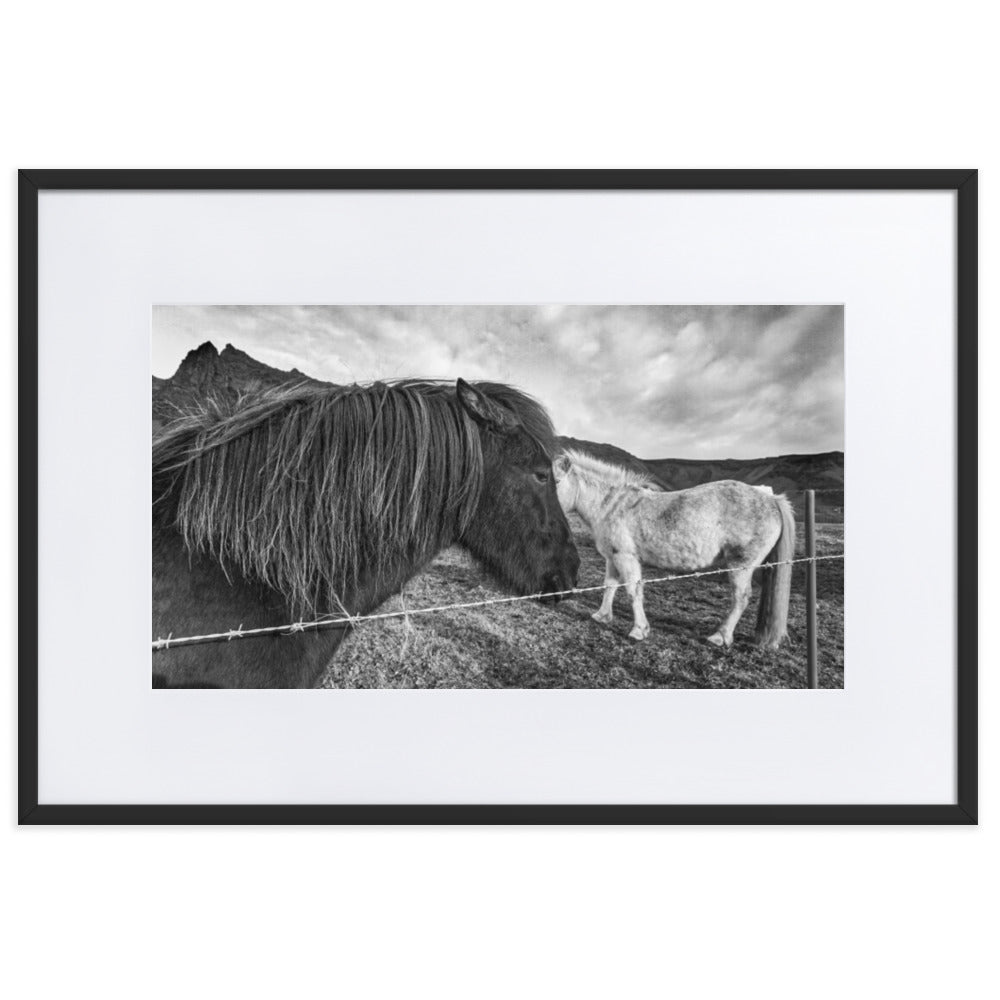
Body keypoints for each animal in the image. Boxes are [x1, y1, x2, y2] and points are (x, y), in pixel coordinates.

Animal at [552, 452, 792, 648]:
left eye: (555, 481)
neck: (612, 505)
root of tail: (771, 499)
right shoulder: (613, 558)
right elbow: (610, 586)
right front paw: (602, 616)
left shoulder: (626, 558)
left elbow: (633, 591)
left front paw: (639, 630)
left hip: (740, 566)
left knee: (741, 598)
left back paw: (720, 636)